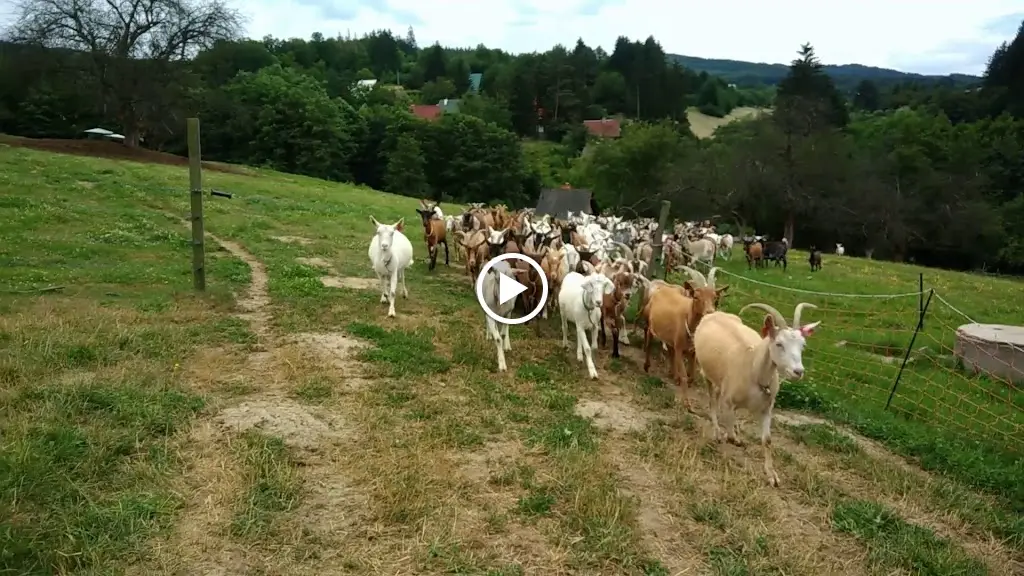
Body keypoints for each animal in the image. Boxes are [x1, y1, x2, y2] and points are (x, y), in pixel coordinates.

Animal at [693, 302, 820, 486]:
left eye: (802, 345)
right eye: (779, 344)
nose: (798, 372)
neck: (753, 366)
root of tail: (714, 313)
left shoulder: (767, 408)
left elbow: (767, 440)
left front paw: (771, 475)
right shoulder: (728, 401)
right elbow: (729, 435)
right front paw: (728, 447)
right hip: (707, 373)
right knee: (712, 401)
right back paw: (717, 432)